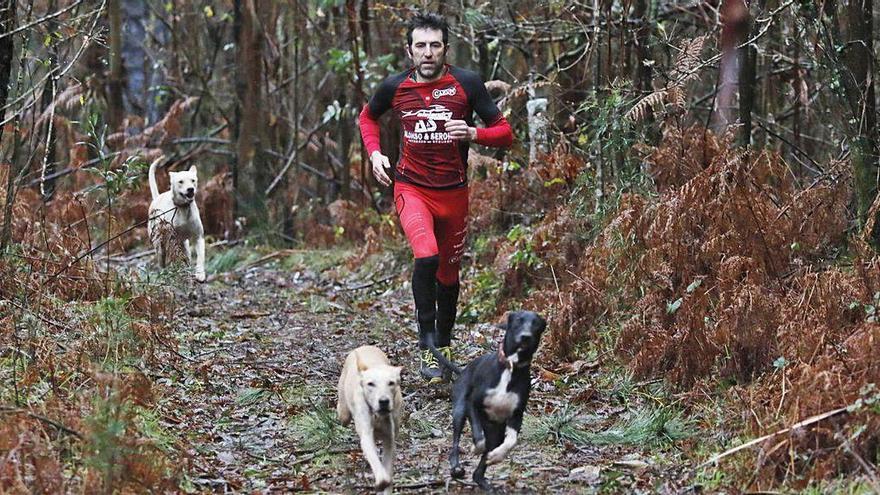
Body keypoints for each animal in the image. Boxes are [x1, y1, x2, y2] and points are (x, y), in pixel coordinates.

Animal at [338, 346, 404, 494]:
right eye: (371, 384)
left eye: (391, 383)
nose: (384, 401)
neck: (376, 415)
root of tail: (365, 346)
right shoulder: (367, 435)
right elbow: (373, 457)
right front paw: (382, 481)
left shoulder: (389, 437)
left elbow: (387, 464)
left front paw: (386, 486)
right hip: (344, 412)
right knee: (343, 414)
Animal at [432, 312, 548, 490]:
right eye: (518, 321)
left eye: (536, 324)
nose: (525, 336)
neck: (510, 367)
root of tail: (463, 369)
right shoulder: (472, 404)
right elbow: (479, 436)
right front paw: (476, 447)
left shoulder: (516, 415)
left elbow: (511, 441)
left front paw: (496, 456)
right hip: (460, 409)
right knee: (456, 442)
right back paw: (456, 466)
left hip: (496, 431)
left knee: (481, 464)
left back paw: (483, 480)